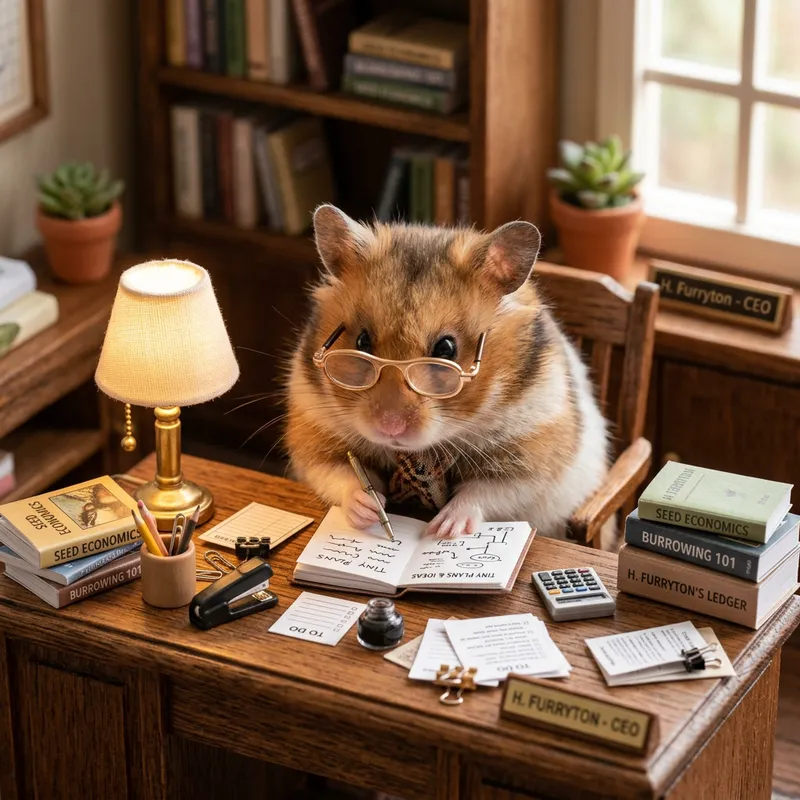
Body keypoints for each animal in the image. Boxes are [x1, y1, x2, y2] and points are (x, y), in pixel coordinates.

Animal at [285, 205, 609, 540]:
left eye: (446, 348)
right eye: (362, 342)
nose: (389, 428)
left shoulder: (533, 457)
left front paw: (443, 530)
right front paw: (370, 508)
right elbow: (341, 474)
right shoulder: (312, 434)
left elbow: (484, 491)